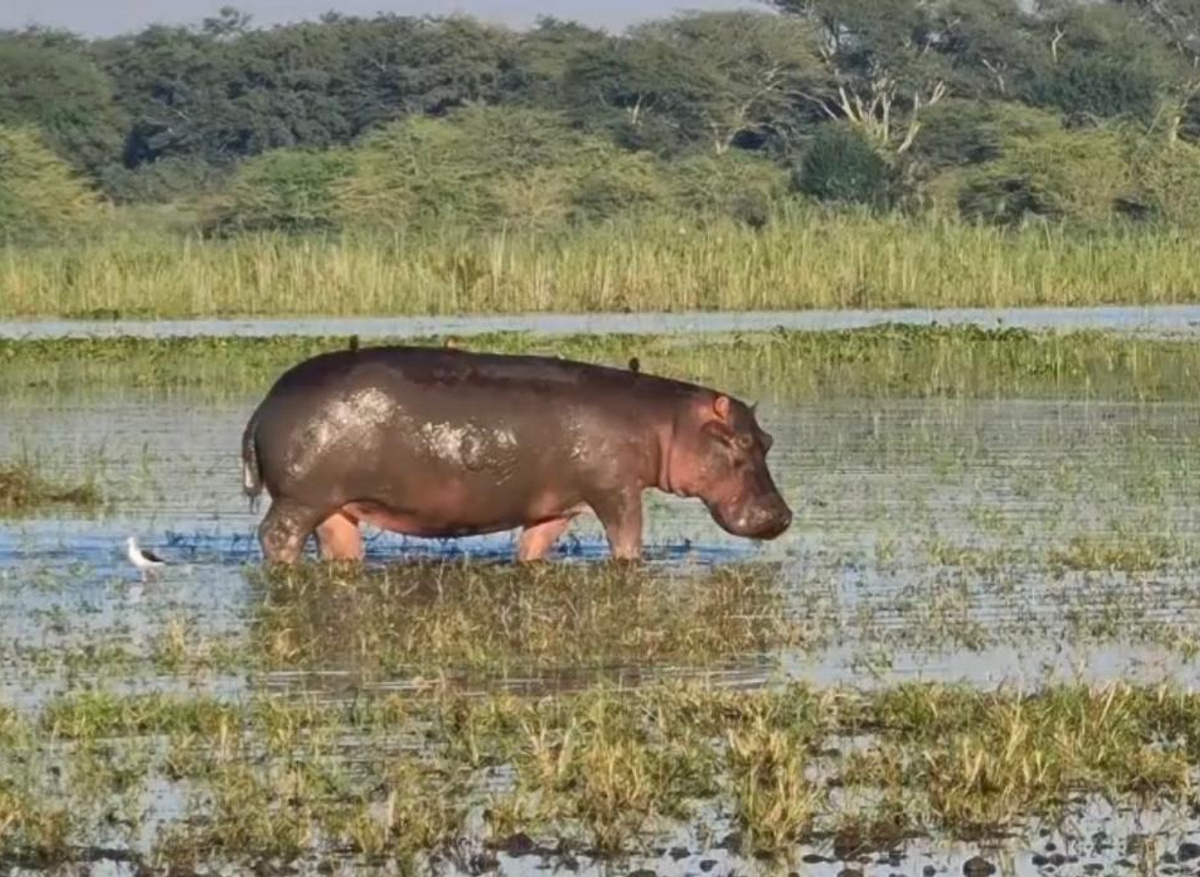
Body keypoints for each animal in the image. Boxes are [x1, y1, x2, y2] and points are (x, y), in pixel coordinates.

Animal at [240, 345, 792, 563]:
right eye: (742, 442)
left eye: (766, 439)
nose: (783, 516)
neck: (664, 421)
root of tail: (264, 404)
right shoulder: (615, 490)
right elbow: (627, 539)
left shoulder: (555, 505)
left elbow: (533, 548)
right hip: (301, 499)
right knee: (276, 537)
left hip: (335, 505)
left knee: (339, 548)